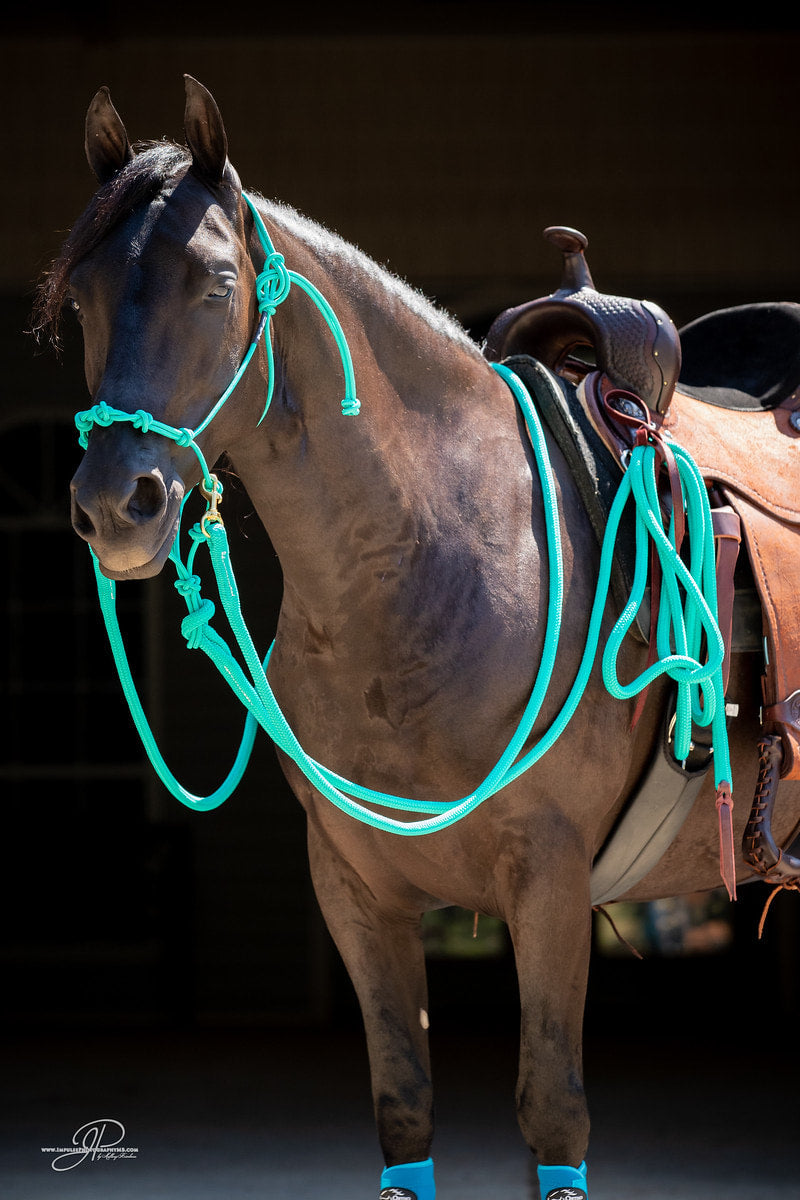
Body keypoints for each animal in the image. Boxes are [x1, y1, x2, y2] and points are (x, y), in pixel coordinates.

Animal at [34, 75, 796, 1200]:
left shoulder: (550, 880)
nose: (113, 505)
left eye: (214, 282)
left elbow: (552, 1116)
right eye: (81, 294)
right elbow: (402, 1108)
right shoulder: (355, 886)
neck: (437, 557)